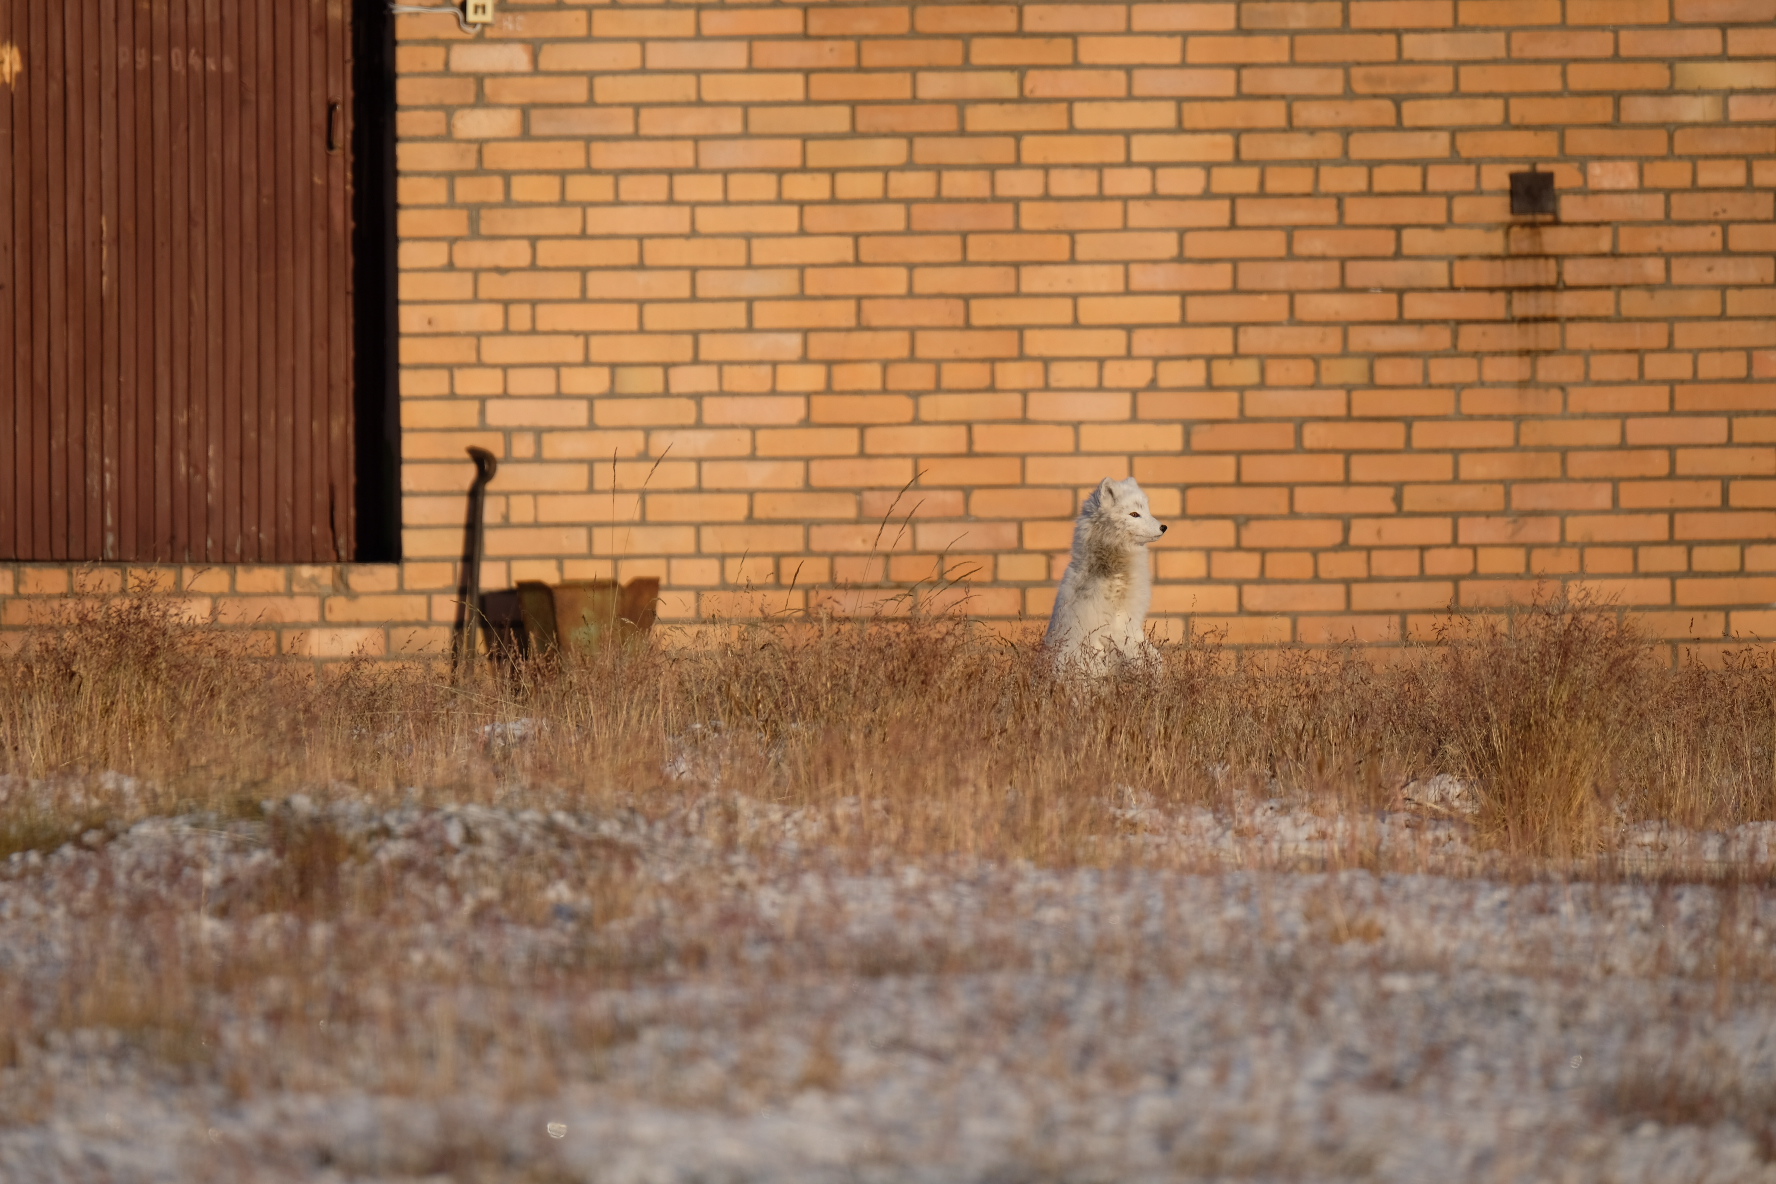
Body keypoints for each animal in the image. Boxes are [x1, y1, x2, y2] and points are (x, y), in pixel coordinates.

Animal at [1037, 475, 1165, 670]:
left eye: (1147, 511)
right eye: (1134, 514)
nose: (1163, 527)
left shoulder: (1134, 625)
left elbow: (1153, 654)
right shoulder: (1119, 624)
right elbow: (1136, 654)